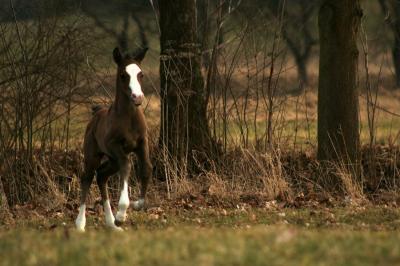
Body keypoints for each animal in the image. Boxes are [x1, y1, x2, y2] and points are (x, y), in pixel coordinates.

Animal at [75, 47, 152, 231]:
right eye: (123, 74)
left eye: (141, 74)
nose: (138, 97)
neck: (129, 118)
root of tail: (96, 115)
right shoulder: (115, 146)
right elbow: (127, 166)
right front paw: (121, 214)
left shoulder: (142, 143)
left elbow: (146, 168)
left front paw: (137, 205)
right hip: (93, 155)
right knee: (87, 178)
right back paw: (81, 224)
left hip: (112, 160)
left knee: (102, 176)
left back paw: (111, 224)